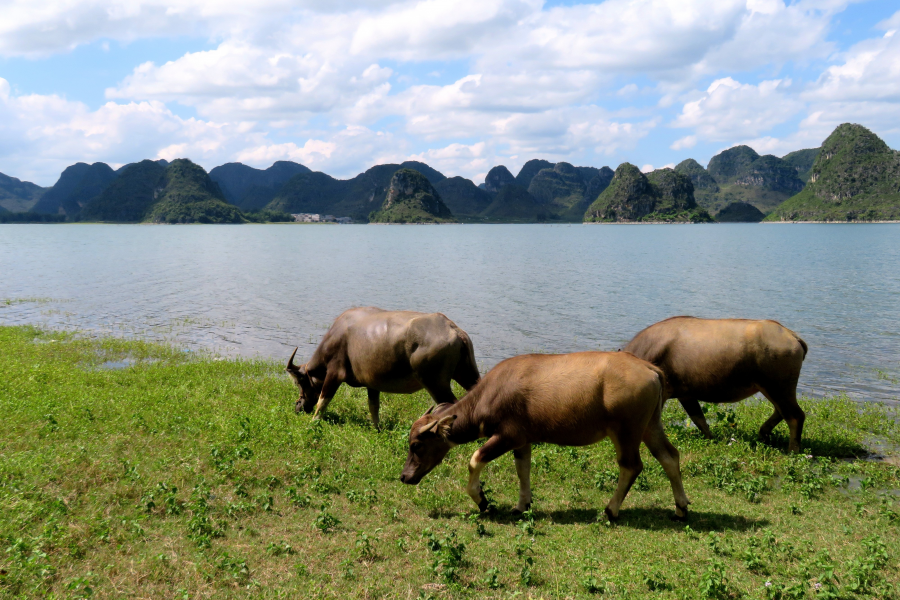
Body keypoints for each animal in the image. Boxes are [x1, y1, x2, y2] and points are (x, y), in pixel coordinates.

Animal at [284, 308, 482, 428]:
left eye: (299, 383)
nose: (298, 406)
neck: (339, 335)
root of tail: (453, 329)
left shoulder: (334, 373)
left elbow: (323, 400)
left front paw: (314, 421)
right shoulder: (372, 384)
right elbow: (373, 407)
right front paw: (377, 428)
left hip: (435, 383)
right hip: (467, 374)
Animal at [400, 352, 688, 520]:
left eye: (416, 444)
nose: (404, 476)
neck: (488, 396)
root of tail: (650, 369)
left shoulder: (507, 437)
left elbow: (474, 459)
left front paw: (483, 501)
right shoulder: (523, 441)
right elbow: (523, 469)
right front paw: (522, 505)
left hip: (626, 431)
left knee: (631, 466)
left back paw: (610, 510)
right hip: (651, 425)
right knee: (669, 456)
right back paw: (681, 508)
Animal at [624, 316, 808, 452]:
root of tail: (792, 335)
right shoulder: (686, 395)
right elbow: (699, 419)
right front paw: (711, 438)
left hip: (777, 387)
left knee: (795, 416)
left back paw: (793, 450)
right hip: (776, 389)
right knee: (781, 411)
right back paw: (763, 434)